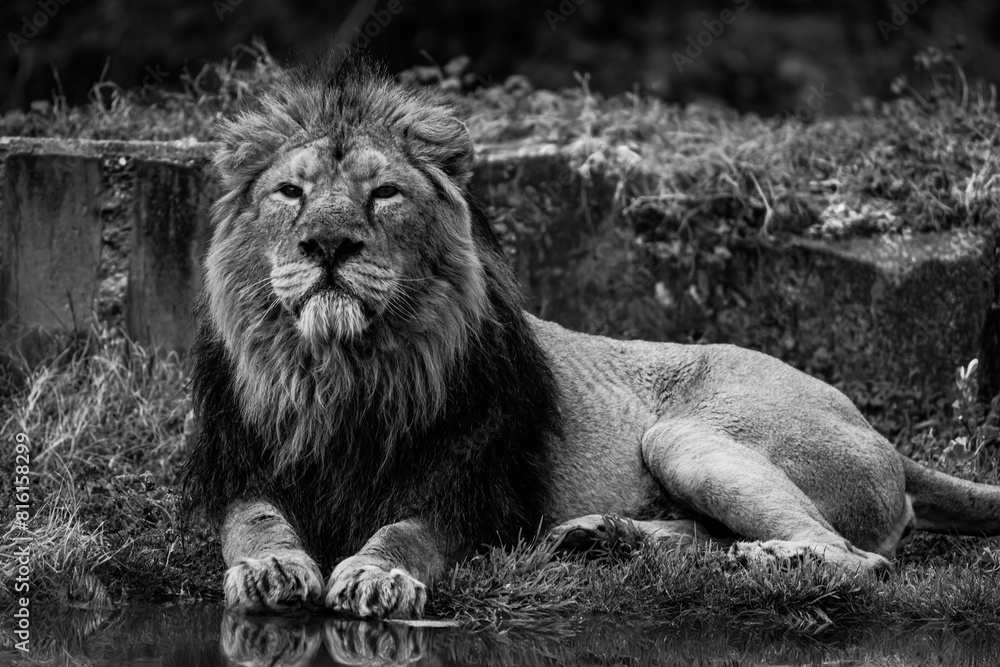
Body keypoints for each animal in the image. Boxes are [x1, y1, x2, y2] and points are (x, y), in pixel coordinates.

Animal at [183, 57, 1000, 619]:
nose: (328, 245)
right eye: (290, 192)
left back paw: (768, 562)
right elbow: (254, 522)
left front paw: (377, 575)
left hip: (684, 433)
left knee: (860, 560)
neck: (342, 371)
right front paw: (271, 570)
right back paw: (609, 538)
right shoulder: (237, 468)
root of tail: (878, 433)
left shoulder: (468, 490)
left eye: (384, 194)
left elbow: (403, 534)